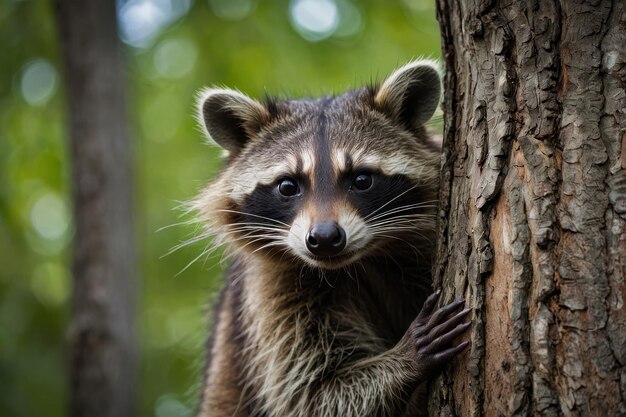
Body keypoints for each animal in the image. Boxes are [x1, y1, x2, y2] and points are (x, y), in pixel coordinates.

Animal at [193, 61, 470, 416]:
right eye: (287, 186)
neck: (360, 262)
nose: (324, 238)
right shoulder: (272, 296)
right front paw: (406, 358)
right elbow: (313, 394)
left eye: (362, 179)